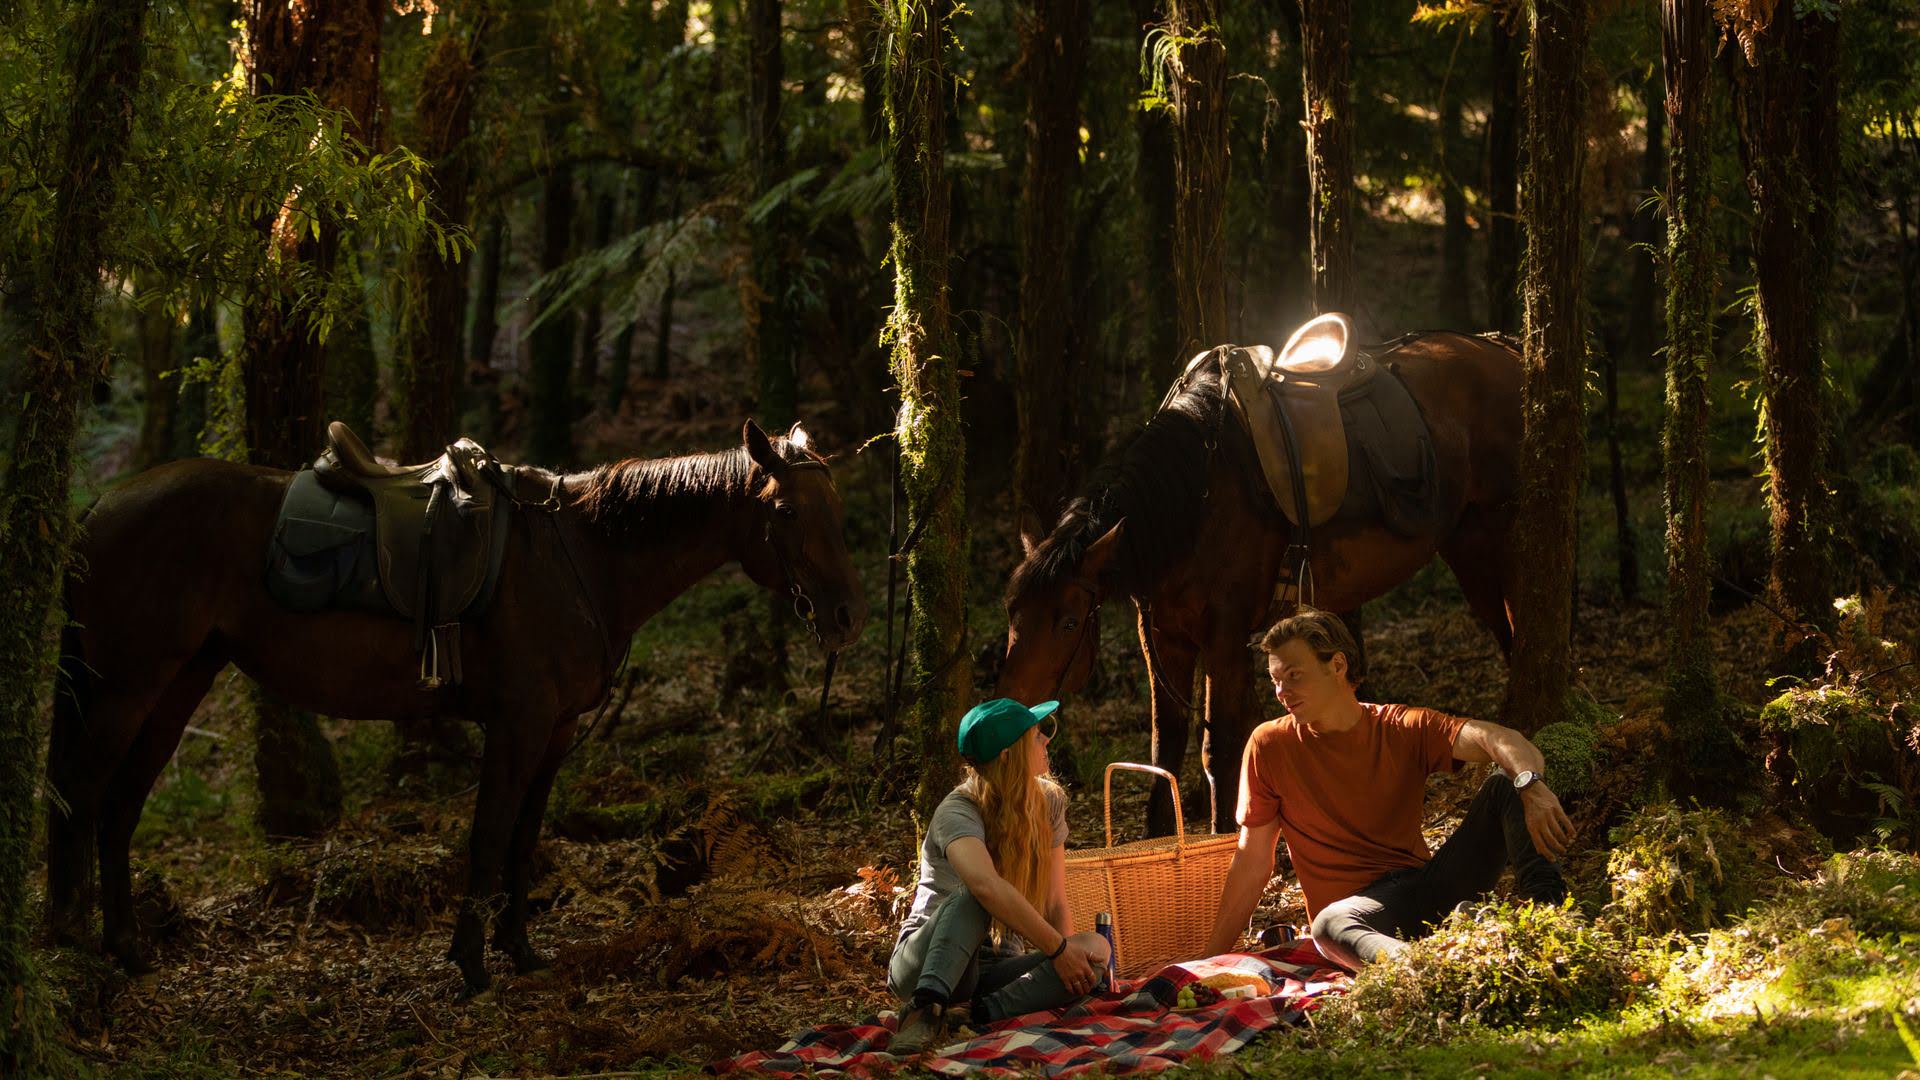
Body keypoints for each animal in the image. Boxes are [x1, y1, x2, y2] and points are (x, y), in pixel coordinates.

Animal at [50, 417, 864, 991]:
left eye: (836, 506)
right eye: (787, 512)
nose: (845, 617)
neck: (582, 555)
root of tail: (95, 511)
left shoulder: (556, 730)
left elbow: (525, 839)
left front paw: (521, 950)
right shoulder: (516, 725)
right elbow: (488, 835)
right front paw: (472, 963)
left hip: (180, 682)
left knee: (119, 806)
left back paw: (128, 949)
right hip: (127, 685)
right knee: (81, 796)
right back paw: (67, 946)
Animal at [998, 334, 1520, 834]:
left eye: (1068, 623)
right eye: (1011, 611)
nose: (1011, 710)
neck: (1195, 502)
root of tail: (1504, 350)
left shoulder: (1225, 638)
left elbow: (1219, 747)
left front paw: (1224, 835)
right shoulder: (1164, 639)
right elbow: (1164, 745)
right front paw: (1156, 841)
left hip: (1495, 540)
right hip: (1466, 545)